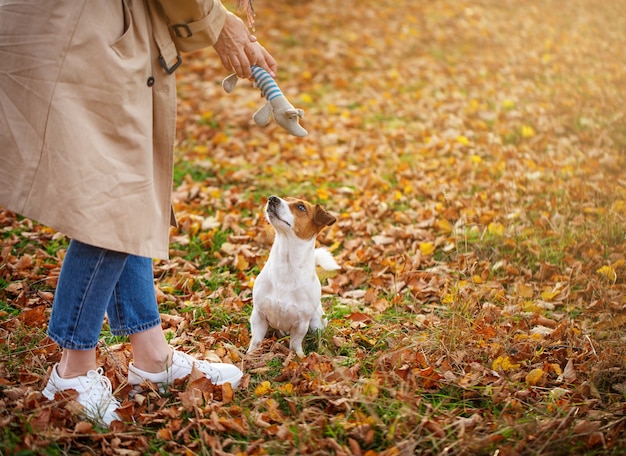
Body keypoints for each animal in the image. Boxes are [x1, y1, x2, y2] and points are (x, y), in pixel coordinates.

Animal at [246, 195, 338, 356]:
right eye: (286, 199)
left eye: (301, 207)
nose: (272, 198)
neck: (286, 266)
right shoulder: (258, 316)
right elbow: (255, 341)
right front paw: (250, 356)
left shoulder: (301, 325)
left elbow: (295, 345)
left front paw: (299, 358)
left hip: (316, 324)